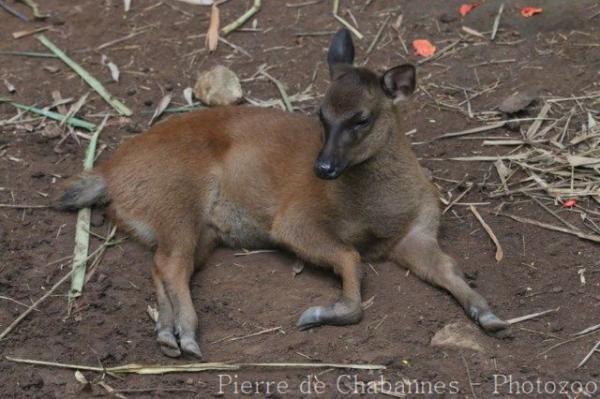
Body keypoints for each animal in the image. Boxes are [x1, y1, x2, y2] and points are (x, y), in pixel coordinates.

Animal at [57, 28, 506, 360]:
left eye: (361, 118)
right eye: (321, 114)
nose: (322, 168)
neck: (375, 210)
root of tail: (108, 173)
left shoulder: (417, 234)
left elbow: (449, 268)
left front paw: (489, 315)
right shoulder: (294, 221)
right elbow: (351, 258)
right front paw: (319, 313)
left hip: (201, 230)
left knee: (162, 266)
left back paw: (167, 334)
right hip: (178, 204)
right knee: (169, 264)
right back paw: (187, 334)